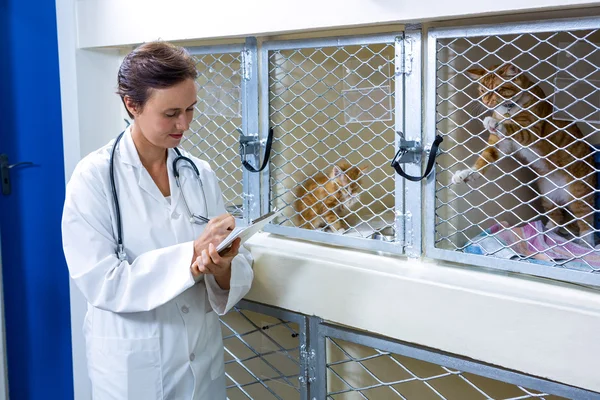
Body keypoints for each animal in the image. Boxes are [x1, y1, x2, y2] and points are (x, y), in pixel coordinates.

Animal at [452, 63, 596, 247]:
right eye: (483, 90)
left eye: (498, 89)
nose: (486, 102)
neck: (508, 109)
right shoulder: (500, 144)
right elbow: (484, 159)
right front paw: (467, 173)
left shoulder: (532, 131)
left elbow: (515, 128)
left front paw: (495, 123)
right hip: (547, 195)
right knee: (556, 217)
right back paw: (543, 233)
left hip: (579, 195)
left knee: (586, 221)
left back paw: (586, 243)